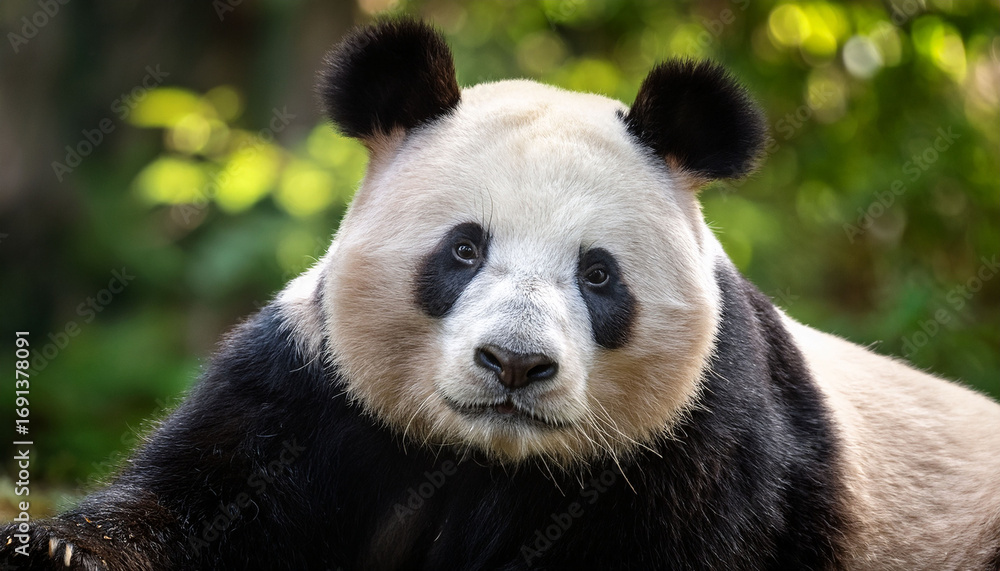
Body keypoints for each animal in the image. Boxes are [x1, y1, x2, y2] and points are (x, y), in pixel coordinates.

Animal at [3, 18, 999, 571]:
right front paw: (65, 548)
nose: (514, 364)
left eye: (598, 274)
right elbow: (206, 490)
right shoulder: (318, 391)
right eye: (464, 249)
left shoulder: (702, 444)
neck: (486, 456)